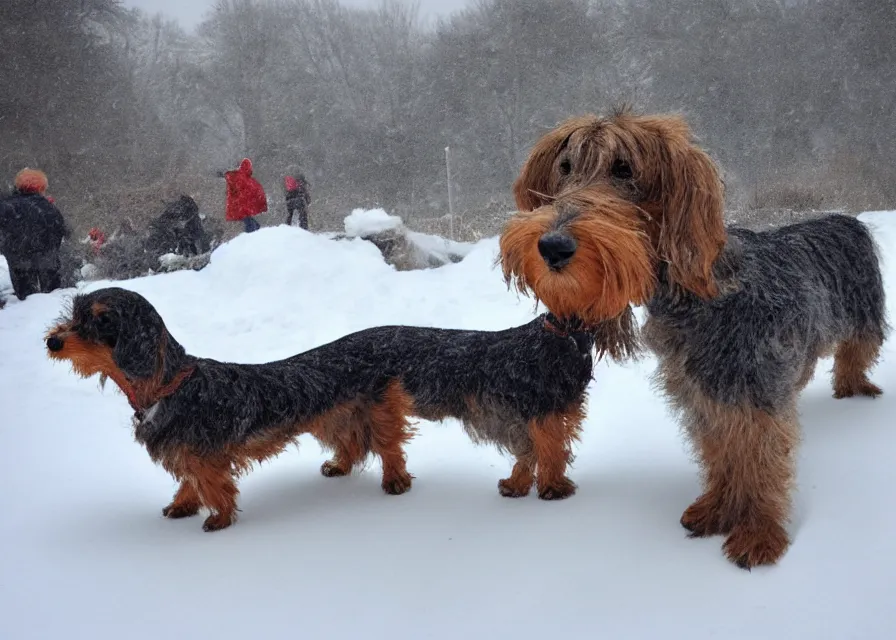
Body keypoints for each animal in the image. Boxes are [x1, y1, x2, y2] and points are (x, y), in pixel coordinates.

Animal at [500, 110, 884, 568]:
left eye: (624, 169)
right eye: (565, 167)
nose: (551, 246)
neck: (702, 297)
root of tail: (846, 217)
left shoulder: (756, 399)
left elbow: (761, 463)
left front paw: (759, 532)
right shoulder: (705, 399)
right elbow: (722, 456)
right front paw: (718, 508)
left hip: (866, 319)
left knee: (857, 355)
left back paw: (855, 387)